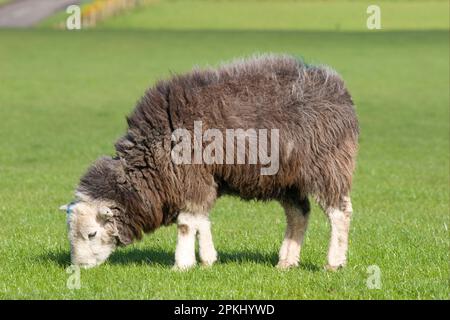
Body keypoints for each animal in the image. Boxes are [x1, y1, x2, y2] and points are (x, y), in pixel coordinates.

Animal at [59, 54, 358, 270]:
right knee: (298, 214)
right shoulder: (203, 179)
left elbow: (186, 223)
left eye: (91, 234)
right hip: (288, 179)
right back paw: (286, 262)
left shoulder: (192, 175)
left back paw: (333, 263)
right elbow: (201, 220)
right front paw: (207, 259)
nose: (78, 268)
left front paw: (182, 264)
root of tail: (338, 90)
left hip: (327, 165)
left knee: (339, 213)